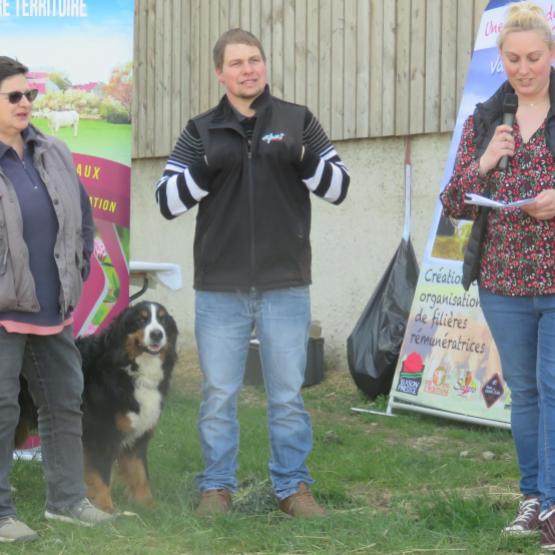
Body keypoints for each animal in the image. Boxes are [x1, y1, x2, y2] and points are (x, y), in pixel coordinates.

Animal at [16, 302, 178, 516]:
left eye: (163, 320)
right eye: (140, 320)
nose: (157, 334)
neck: (127, 367)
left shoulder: (137, 437)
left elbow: (140, 475)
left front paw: (150, 507)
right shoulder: (100, 434)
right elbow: (100, 475)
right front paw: (106, 508)